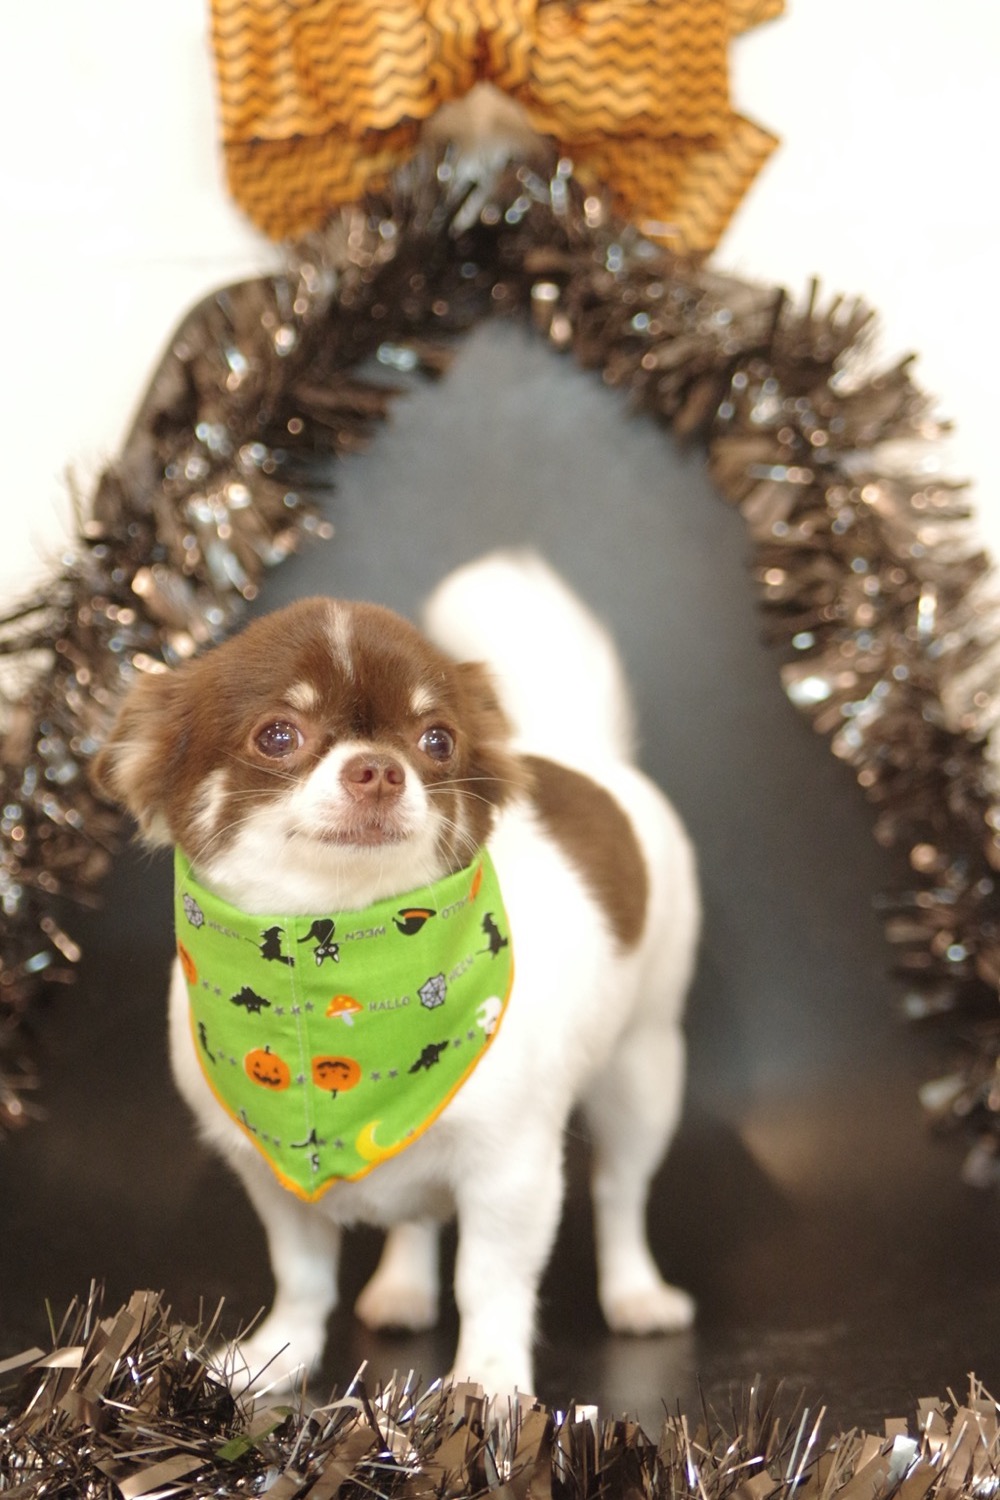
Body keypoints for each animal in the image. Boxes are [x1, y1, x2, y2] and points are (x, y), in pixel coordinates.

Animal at [91, 550, 700, 1400]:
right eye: (278, 734)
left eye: (436, 740)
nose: (379, 769)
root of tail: (583, 753)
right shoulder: (271, 1174)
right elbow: (303, 1274)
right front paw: (276, 1358)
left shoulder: (511, 1168)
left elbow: (491, 1282)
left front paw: (488, 1388)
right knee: (415, 1214)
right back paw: (403, 1289)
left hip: (645, 1064)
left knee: (620, 1191)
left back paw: (636, 1294)